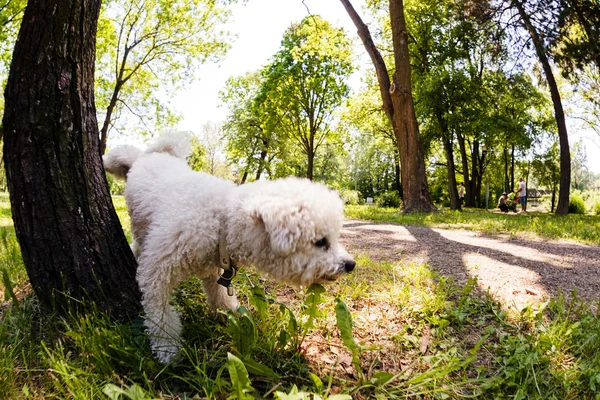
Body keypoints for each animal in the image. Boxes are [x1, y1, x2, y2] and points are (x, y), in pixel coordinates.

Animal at [104, 133, 356, 360]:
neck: (220, 220)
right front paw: (167, 347)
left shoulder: (213, 267)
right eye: (321, 242)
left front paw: (232, 313)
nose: (350, 264)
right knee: (138, 241)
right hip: (140, 224)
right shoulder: (158, 272)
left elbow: (218, 294)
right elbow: (161, 313)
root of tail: (150, 156)